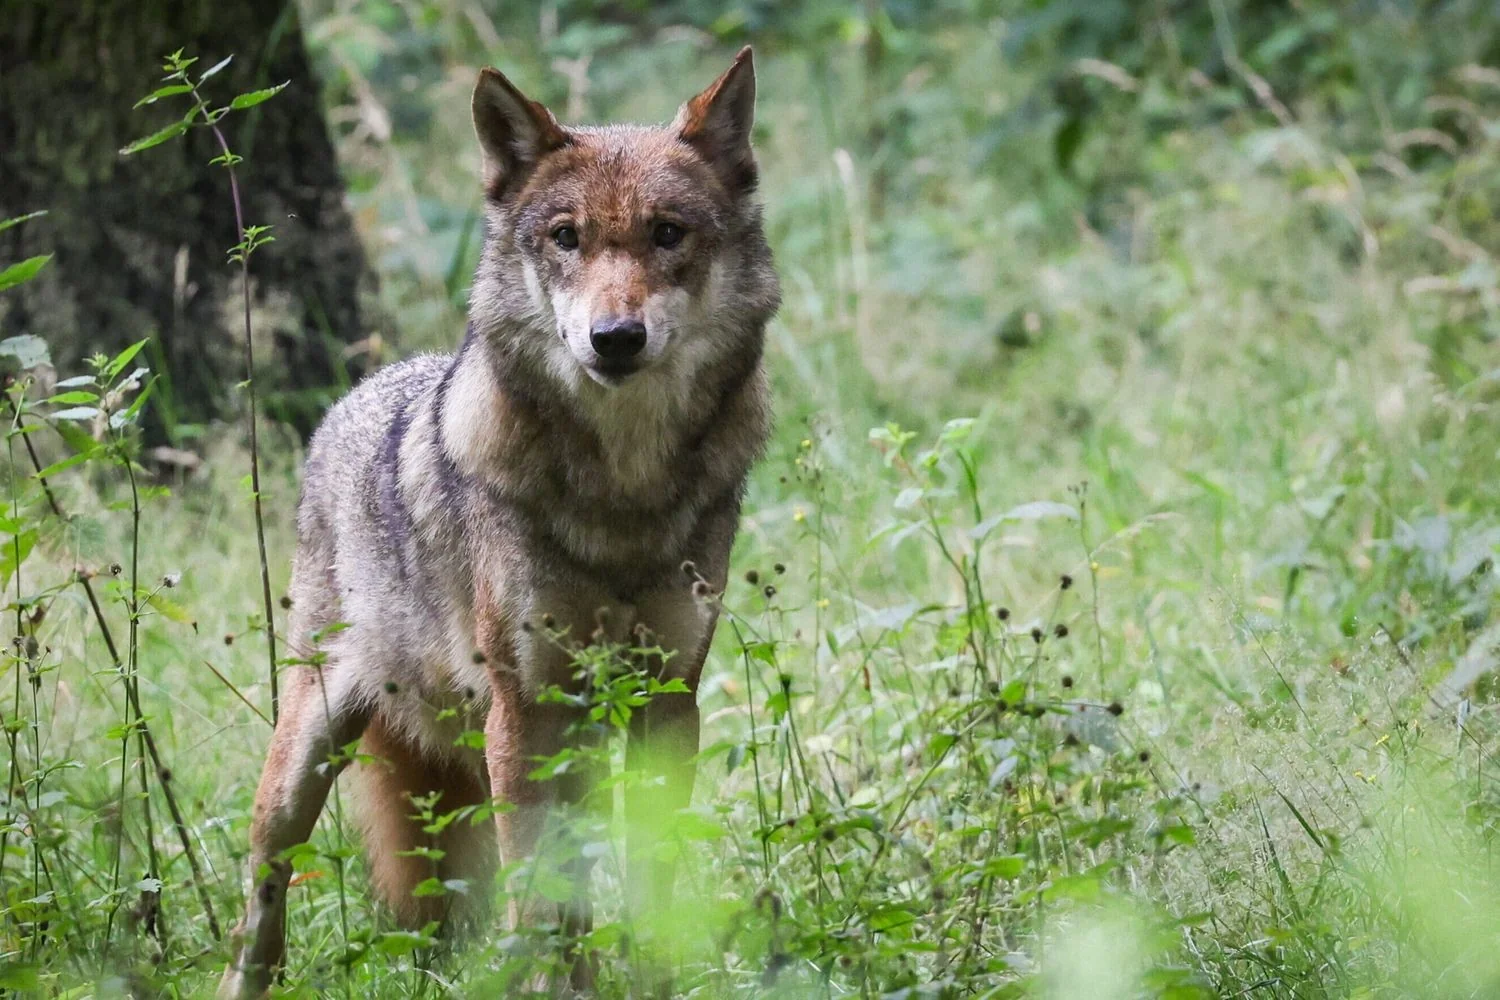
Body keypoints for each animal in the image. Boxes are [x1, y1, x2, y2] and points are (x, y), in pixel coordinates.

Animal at [218, 47, 778, 998]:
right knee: (262, 894)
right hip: (306, 758)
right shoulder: (522, 712)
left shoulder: (668, 701)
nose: (614, 337)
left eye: (668, 234)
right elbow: (535, 891)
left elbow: (650, 878)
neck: (623, 493)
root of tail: (353, 399)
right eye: (566, 238)